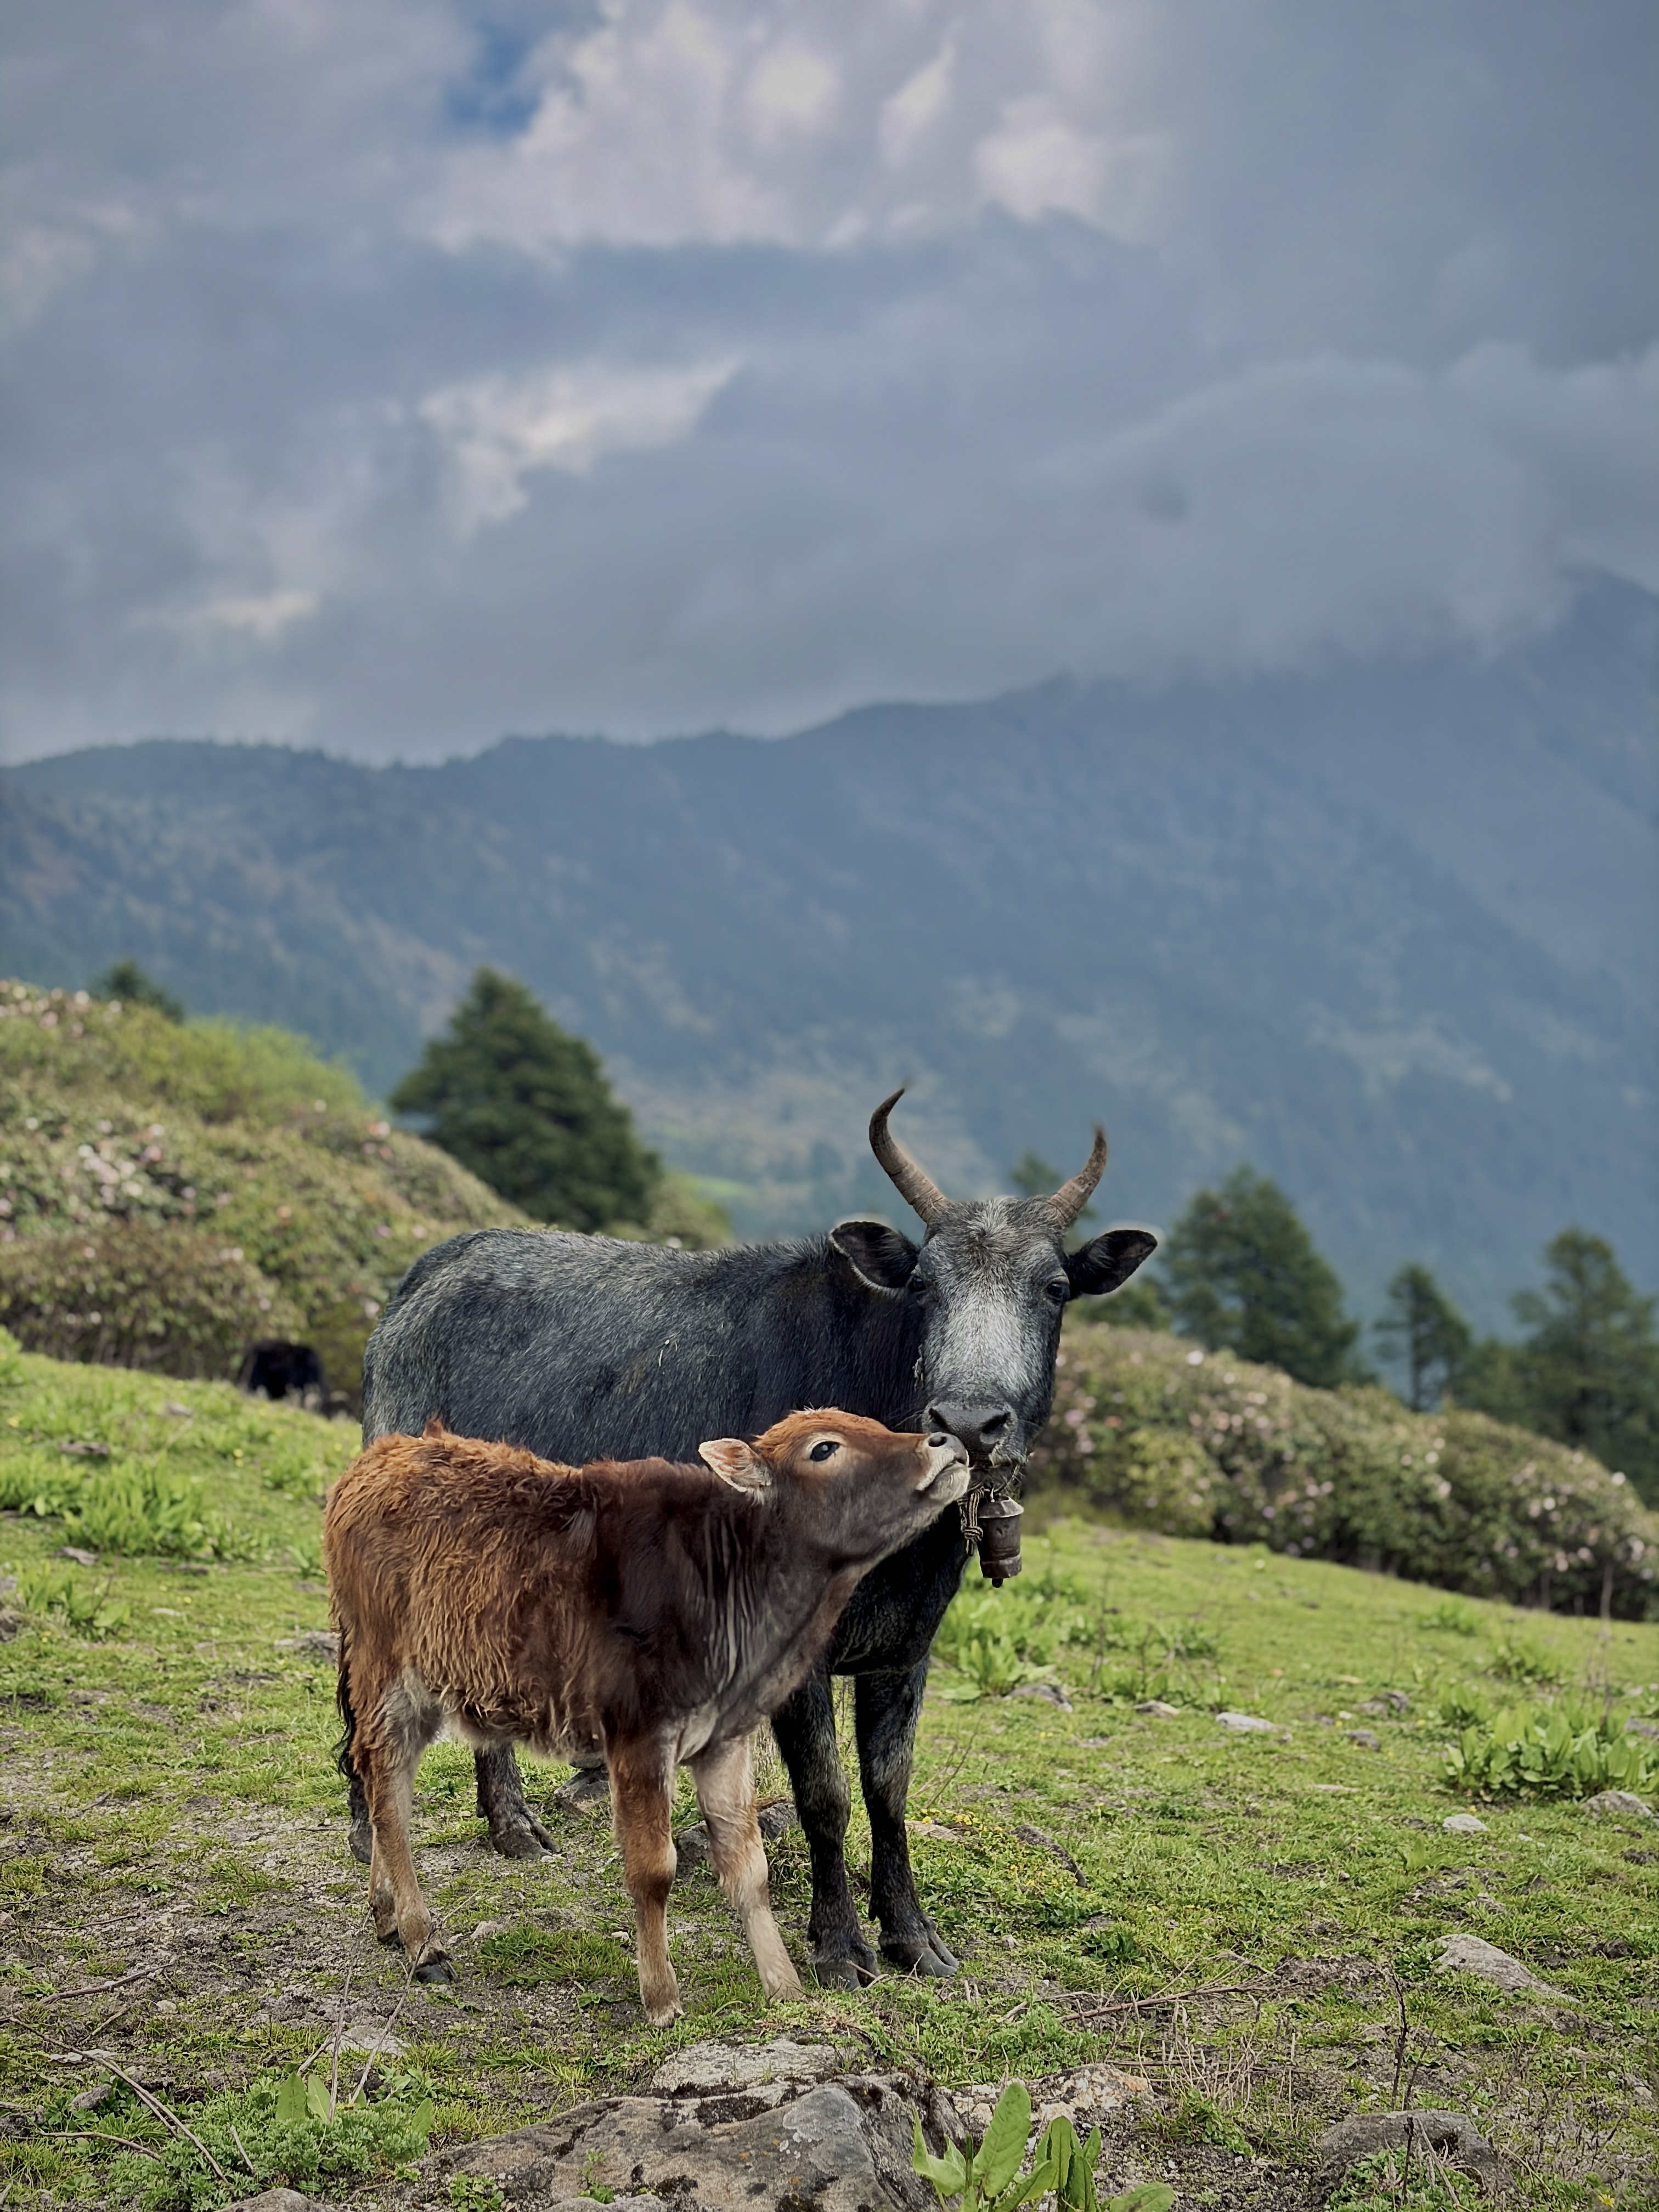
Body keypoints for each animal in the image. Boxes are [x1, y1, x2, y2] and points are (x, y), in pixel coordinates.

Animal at [325, 1410, 969, 2018]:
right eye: (825, 1448)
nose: (945, 1443)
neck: (723, 1571)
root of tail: (370, 1466)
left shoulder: (723, 1742)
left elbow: (749, 1869)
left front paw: (785, 1988)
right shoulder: (638, 1741)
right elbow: (653, 1870)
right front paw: (661, 1998)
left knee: (385, 1788)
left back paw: (387, 1916)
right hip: (387, 1680)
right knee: (388, 1797)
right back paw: (423, 1943)